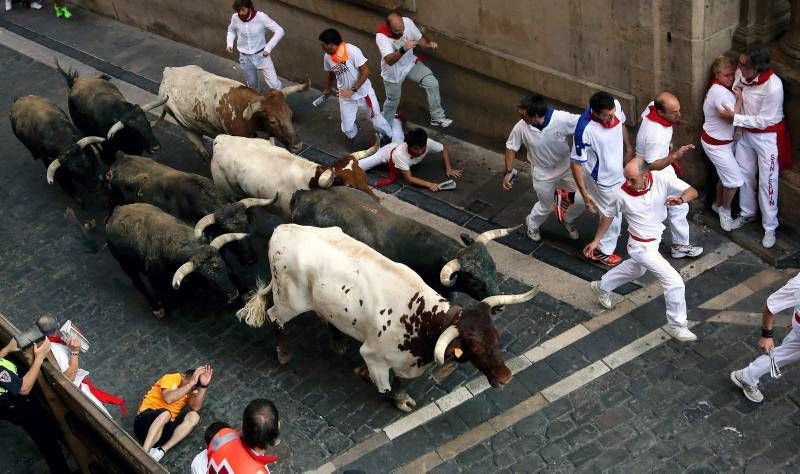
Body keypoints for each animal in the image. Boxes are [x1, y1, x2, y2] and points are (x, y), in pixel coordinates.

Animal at [158, 65, 308, 159]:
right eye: (272, 121)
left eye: (290, 115)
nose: (297, 146)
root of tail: (168, 72)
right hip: (188, 128)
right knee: (203, 153)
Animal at [209, 135, 378, 220]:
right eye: (350, 187)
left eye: (365, 178)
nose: (377, 202)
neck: (311, 181)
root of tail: (221, 140)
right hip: (227, 191)